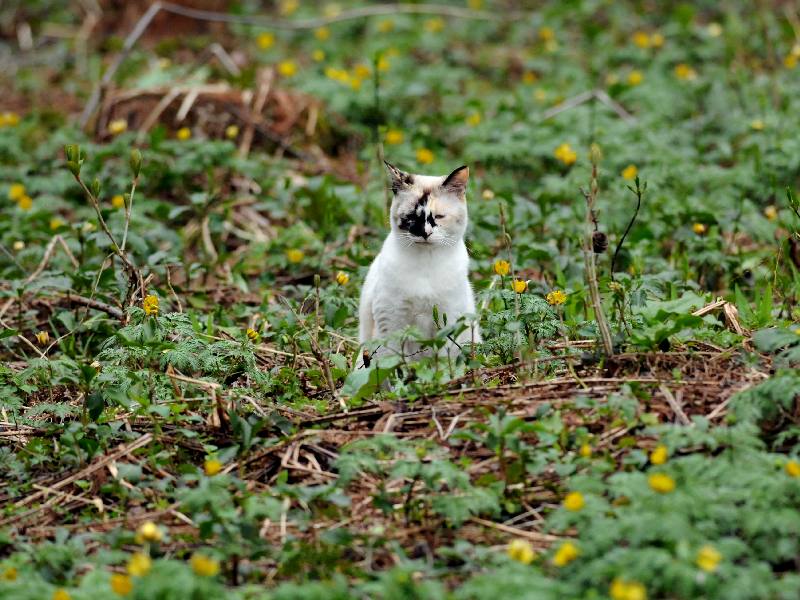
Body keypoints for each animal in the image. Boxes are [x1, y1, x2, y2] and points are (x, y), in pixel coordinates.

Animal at [358, 162, 482, 364]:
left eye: (439, 217)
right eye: (411, 217)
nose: (425, 232)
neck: (426, 263)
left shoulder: (448, 320)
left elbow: (444, 363)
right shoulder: (392, 323)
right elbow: (397, 364)